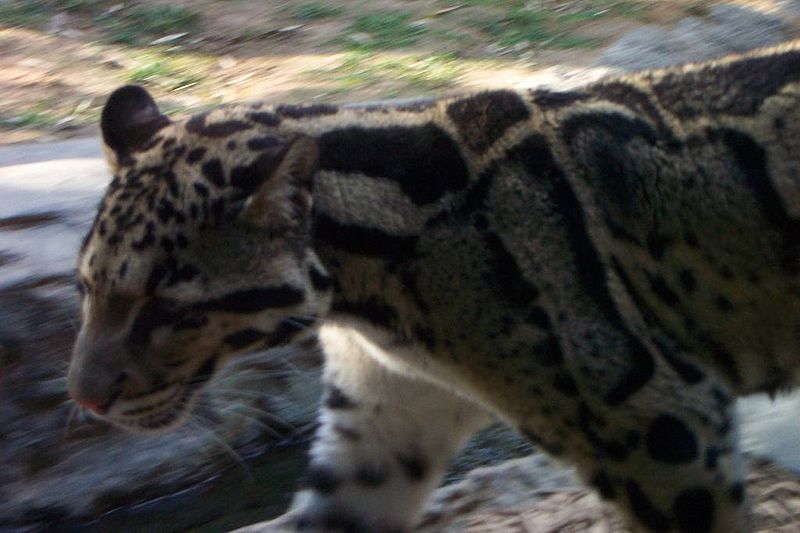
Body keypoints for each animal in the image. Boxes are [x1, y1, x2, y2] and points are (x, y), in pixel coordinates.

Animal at [66, 41, 800, 532]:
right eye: (84, 287)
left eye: (166, 306)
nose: (84, 399)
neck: (367, 303)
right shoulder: (381, 418)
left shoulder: (656, 417)